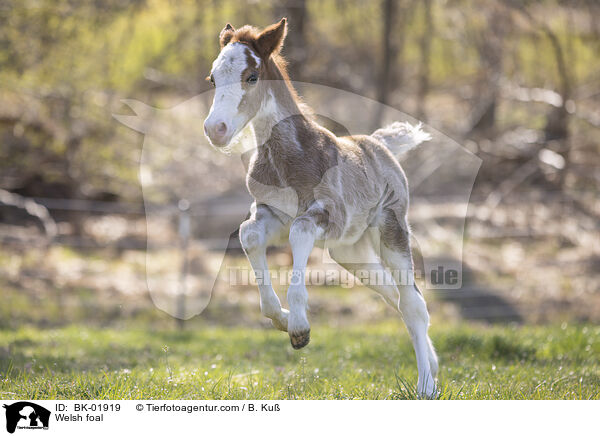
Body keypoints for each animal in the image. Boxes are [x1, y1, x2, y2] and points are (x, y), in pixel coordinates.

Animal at [204, 18, 438, 396]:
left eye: (251, 76)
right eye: (212, 78)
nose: (216, 130)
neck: (287, 158)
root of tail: (380, 144)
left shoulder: (324, 215)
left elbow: (301, 231)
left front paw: (299, 328)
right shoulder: (271, 213)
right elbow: (248, 234)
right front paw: (283, 318)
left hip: (391, 230)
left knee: (413, 303)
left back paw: (427, 386)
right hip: (350, 251)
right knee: (394, 297)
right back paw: (433, 366)